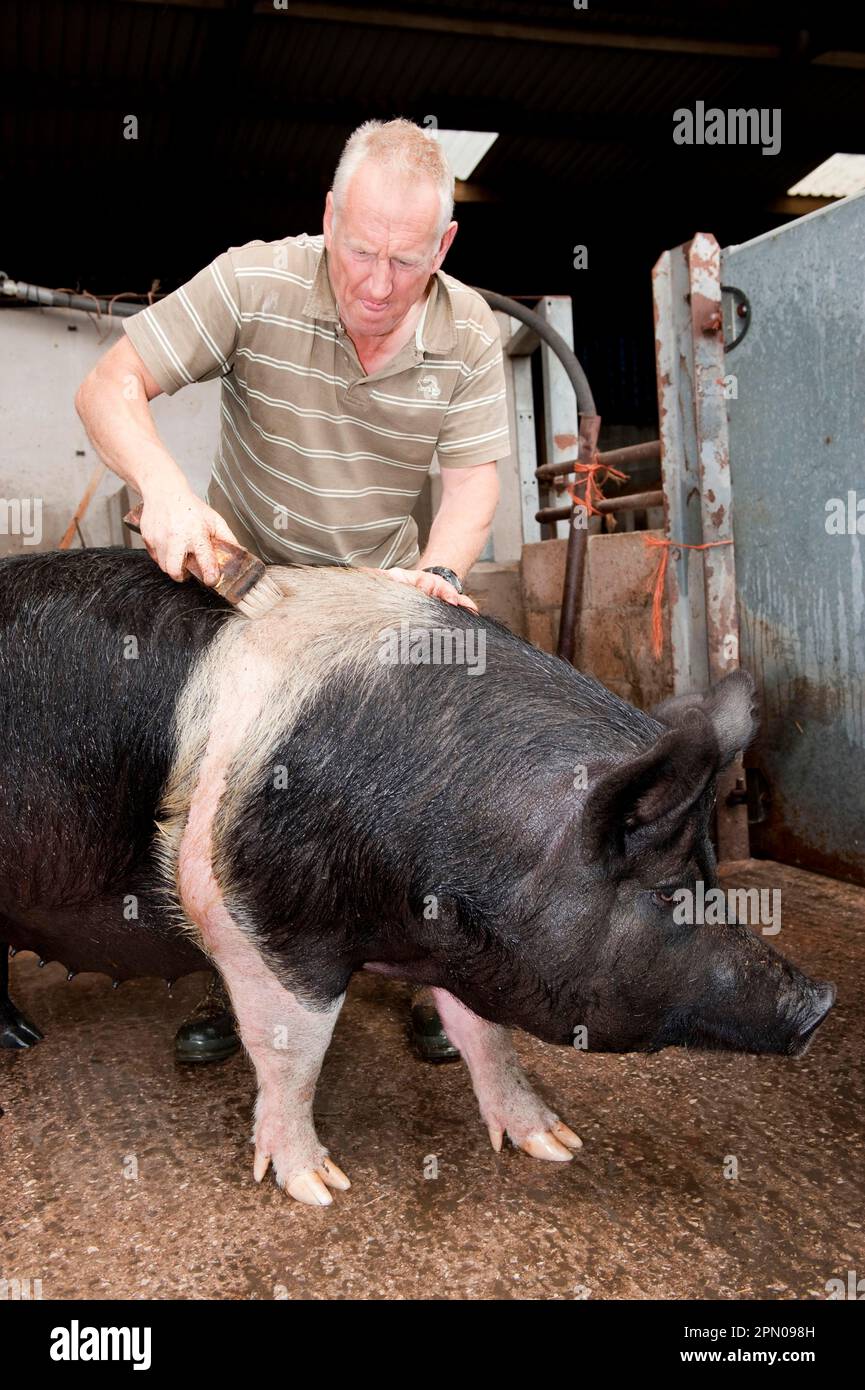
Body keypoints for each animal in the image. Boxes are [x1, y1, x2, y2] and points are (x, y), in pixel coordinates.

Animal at [0, 548, 835, 1205]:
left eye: (711, 877)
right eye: (664, 892)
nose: (818, 1002)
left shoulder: (465, 941)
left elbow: (484, 1034)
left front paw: (554, 1144)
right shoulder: (246, 914)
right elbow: (293, 1053)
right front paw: (320, 1188)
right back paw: (23, 1042)